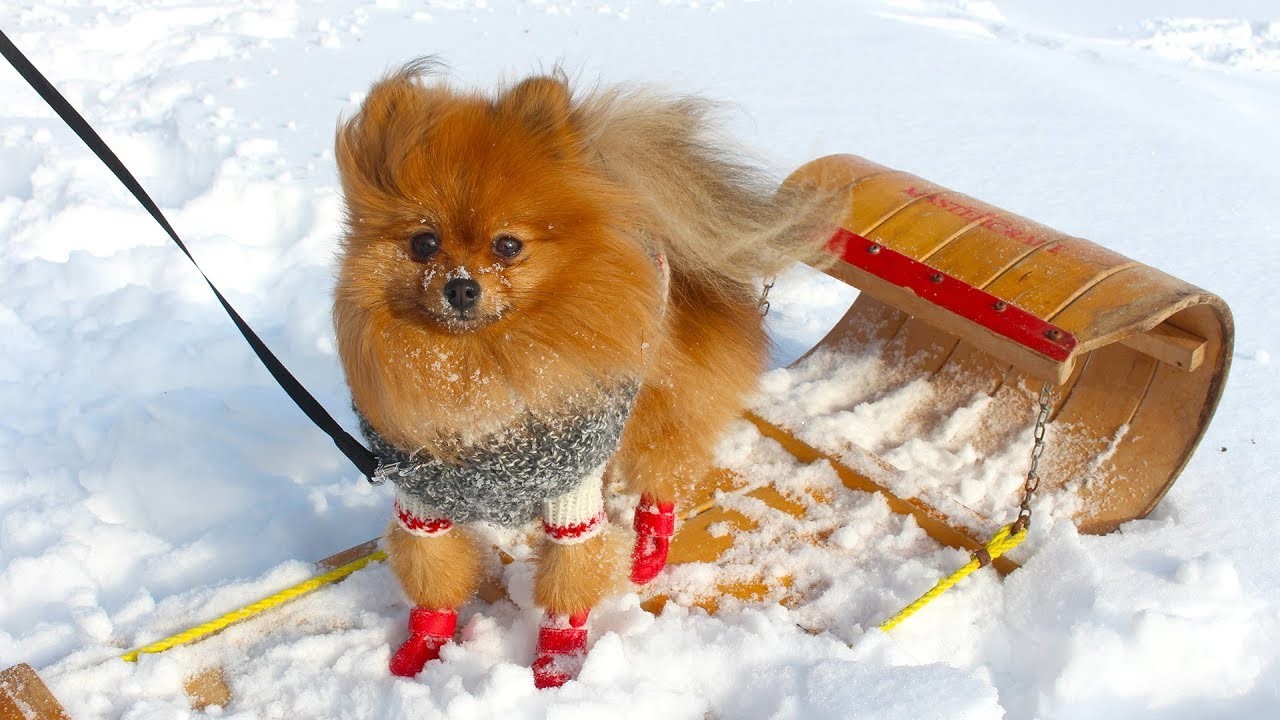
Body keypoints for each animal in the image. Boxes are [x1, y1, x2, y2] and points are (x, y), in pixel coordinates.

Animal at [332, 60, 829, 681]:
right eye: (423, 243)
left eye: (508, 245)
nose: (462, 287)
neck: (481, 365)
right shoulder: (423, 503)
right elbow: (433, 578)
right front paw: (425, 643)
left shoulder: (570, 498)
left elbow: (569, 581)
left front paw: (558, 661)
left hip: (659, 402)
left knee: (662, 471)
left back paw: (648, 551)